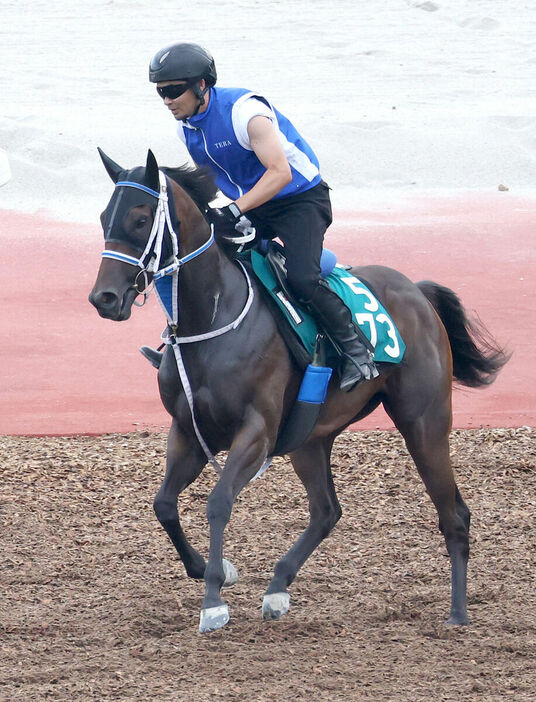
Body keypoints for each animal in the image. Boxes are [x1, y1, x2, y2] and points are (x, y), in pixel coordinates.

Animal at [90, 151, 508, 636]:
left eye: (140, 219)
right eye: (104, 217)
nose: (104, 298)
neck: (213, 315)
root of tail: (418, 293)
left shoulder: (257, 432)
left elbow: (218, 503)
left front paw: (213, 601)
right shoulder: (190, 431)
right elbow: (164, 504)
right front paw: (217, 571)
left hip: (424, 423)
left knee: (454, 514)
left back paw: (457, 612)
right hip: (310, 438)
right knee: (326, 511)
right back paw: (277, 588)